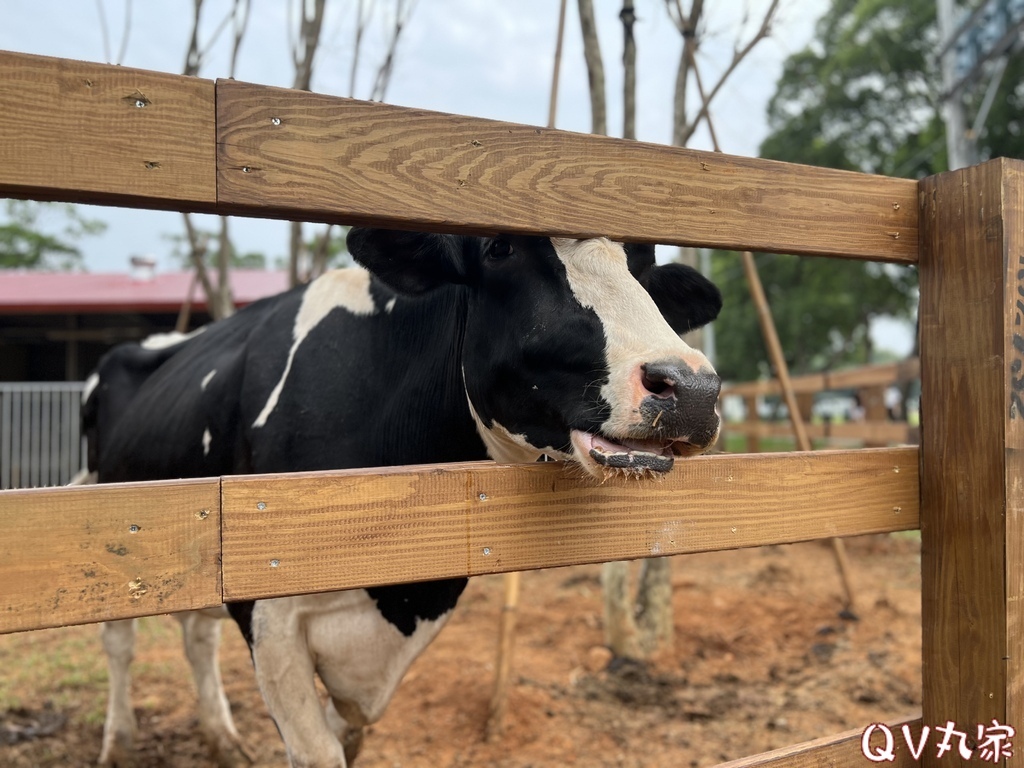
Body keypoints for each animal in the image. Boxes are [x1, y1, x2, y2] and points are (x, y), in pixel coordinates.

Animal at [83, 225, 720, 765]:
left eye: (645, 263)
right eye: (500, 250)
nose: (690, 388)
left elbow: (352, 733)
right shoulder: (267, 609)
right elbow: (318, 752)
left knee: (197, 635)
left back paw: (222, 738)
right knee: (118, 640)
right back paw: (118, 742)